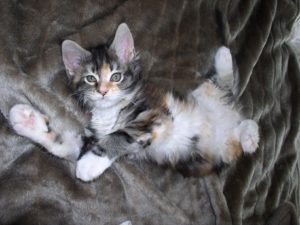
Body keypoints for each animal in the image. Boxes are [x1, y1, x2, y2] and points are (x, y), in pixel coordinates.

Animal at [8, 23, 258, 181]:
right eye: (91, 79)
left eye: (116, 76)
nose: (103, 91)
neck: (112, 111)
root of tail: (227, 117)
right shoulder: (93, 137)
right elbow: (66, 142)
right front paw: (27, 121)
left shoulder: (154, 114)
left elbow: (120, 134)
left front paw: (89, 164)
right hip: (220, 146)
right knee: (238, 129)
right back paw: (248, 136)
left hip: (205, 98)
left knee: (225, 87)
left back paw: (224, 57)